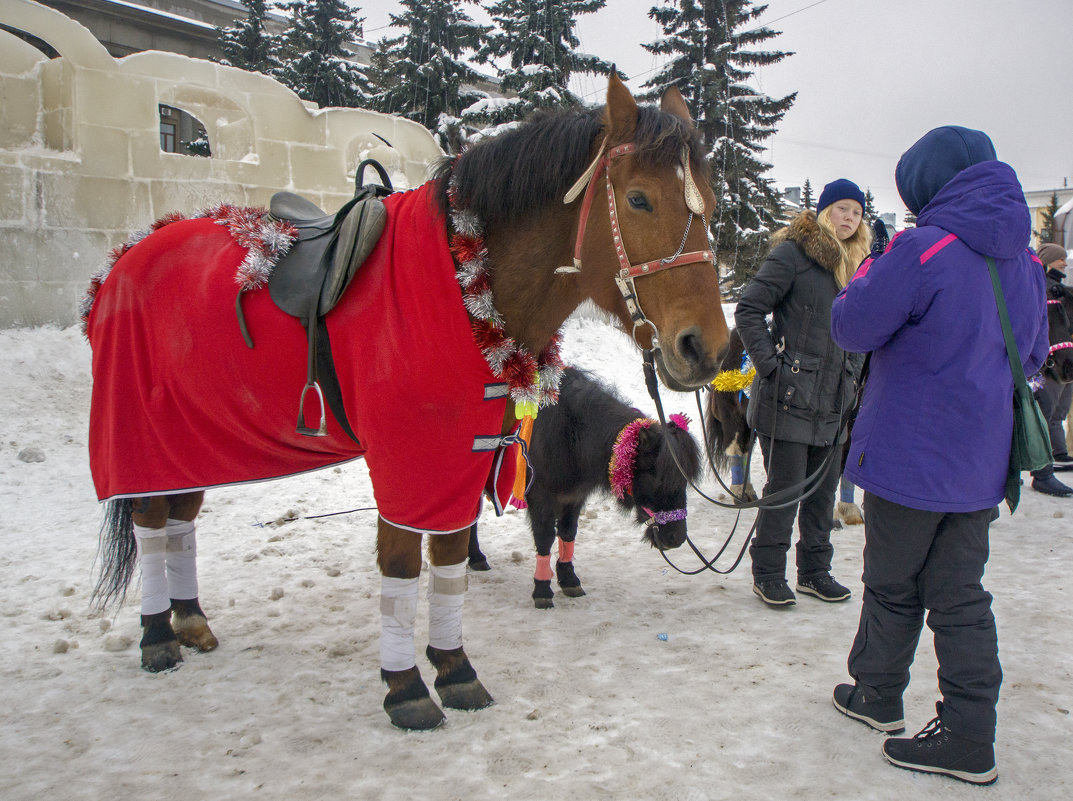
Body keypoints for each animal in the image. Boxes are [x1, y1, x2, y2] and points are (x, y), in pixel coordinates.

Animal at [467, 368, 699, 609]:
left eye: (684, 481)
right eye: (657, 479)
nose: (676, 537)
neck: (571, 433)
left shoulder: (574, 497)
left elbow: (568, 533)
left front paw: (569, 579)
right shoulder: (540, 497)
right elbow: (545, 537)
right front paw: (542, 589)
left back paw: (475, 557)